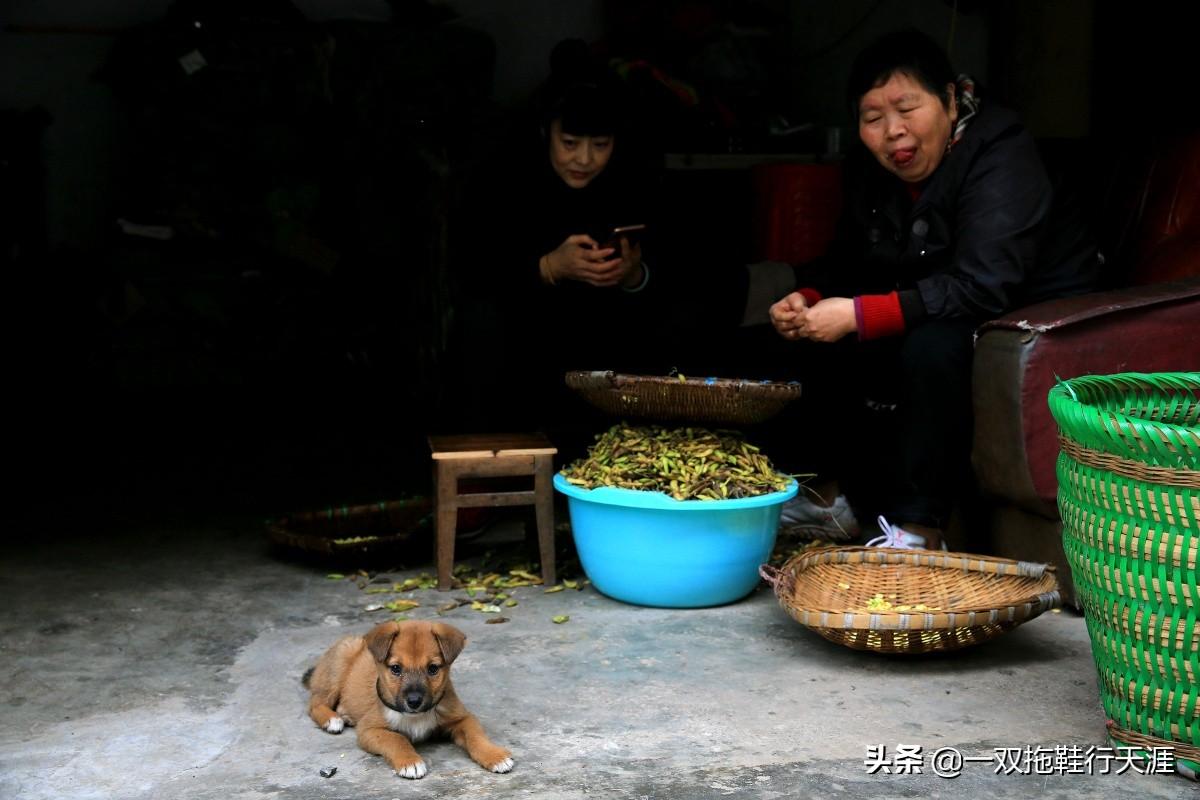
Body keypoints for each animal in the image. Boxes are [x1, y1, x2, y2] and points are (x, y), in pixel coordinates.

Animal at [304, 618, 511, 782]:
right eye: (396, 668)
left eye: (433, 668)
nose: (414, 701)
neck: (416, 716)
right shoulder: (369, 729)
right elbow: (396, 738)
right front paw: (411, 762)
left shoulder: (462, 717)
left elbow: (475, 736)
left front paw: (495, 756)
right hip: (337, 668)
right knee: (315, 703)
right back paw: (332, 720)